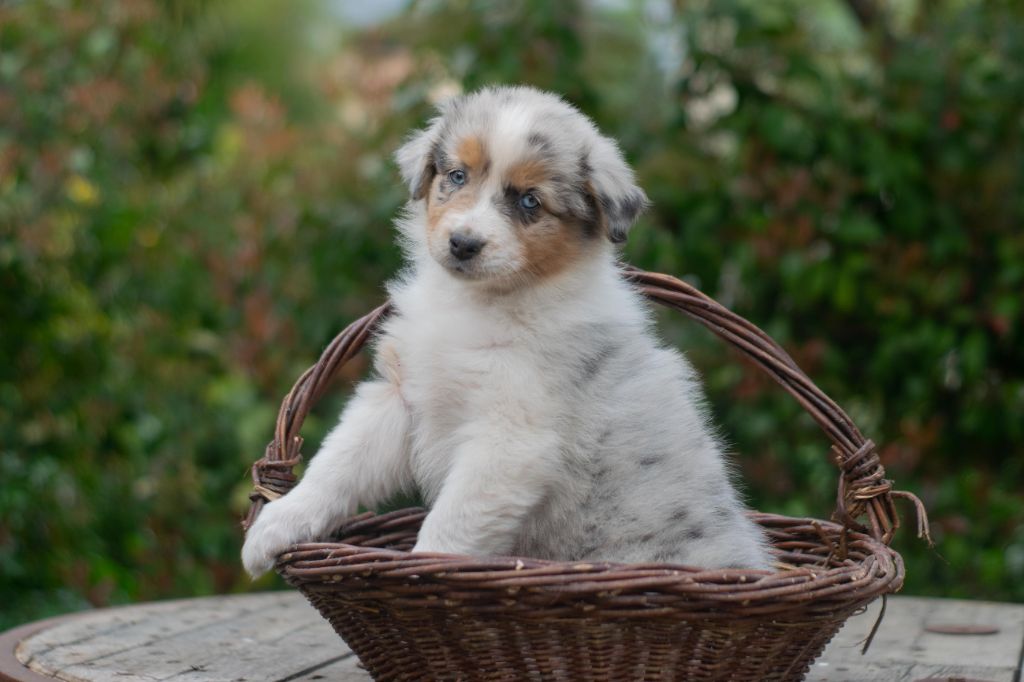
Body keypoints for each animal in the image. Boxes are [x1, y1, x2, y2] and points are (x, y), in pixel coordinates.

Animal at [242, 86, 772, 577]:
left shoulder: (511, 438)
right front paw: (273, 527)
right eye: (457, 175)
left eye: (529, 201)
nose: (463, 243)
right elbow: (338, 464)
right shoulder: (401, 397)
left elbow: (448, 526)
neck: (481, 303)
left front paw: (423, 575)